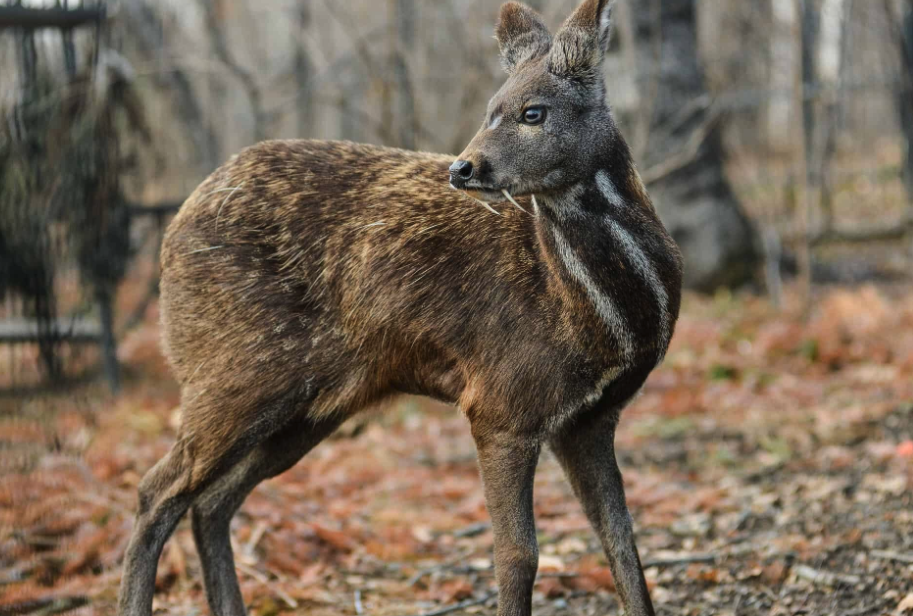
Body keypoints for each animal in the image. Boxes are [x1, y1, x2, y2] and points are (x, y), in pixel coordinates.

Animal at [117, 1, 680, 616]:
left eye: (534, 112)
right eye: (491, 109)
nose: (463, 168)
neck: (602, 318)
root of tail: (172, 232)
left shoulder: (591, 418)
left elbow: (622, 542)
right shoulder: (501, 403)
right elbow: (518, 557)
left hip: (310, 407)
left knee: (209, 503)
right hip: (233, 372)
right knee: (155, 491)